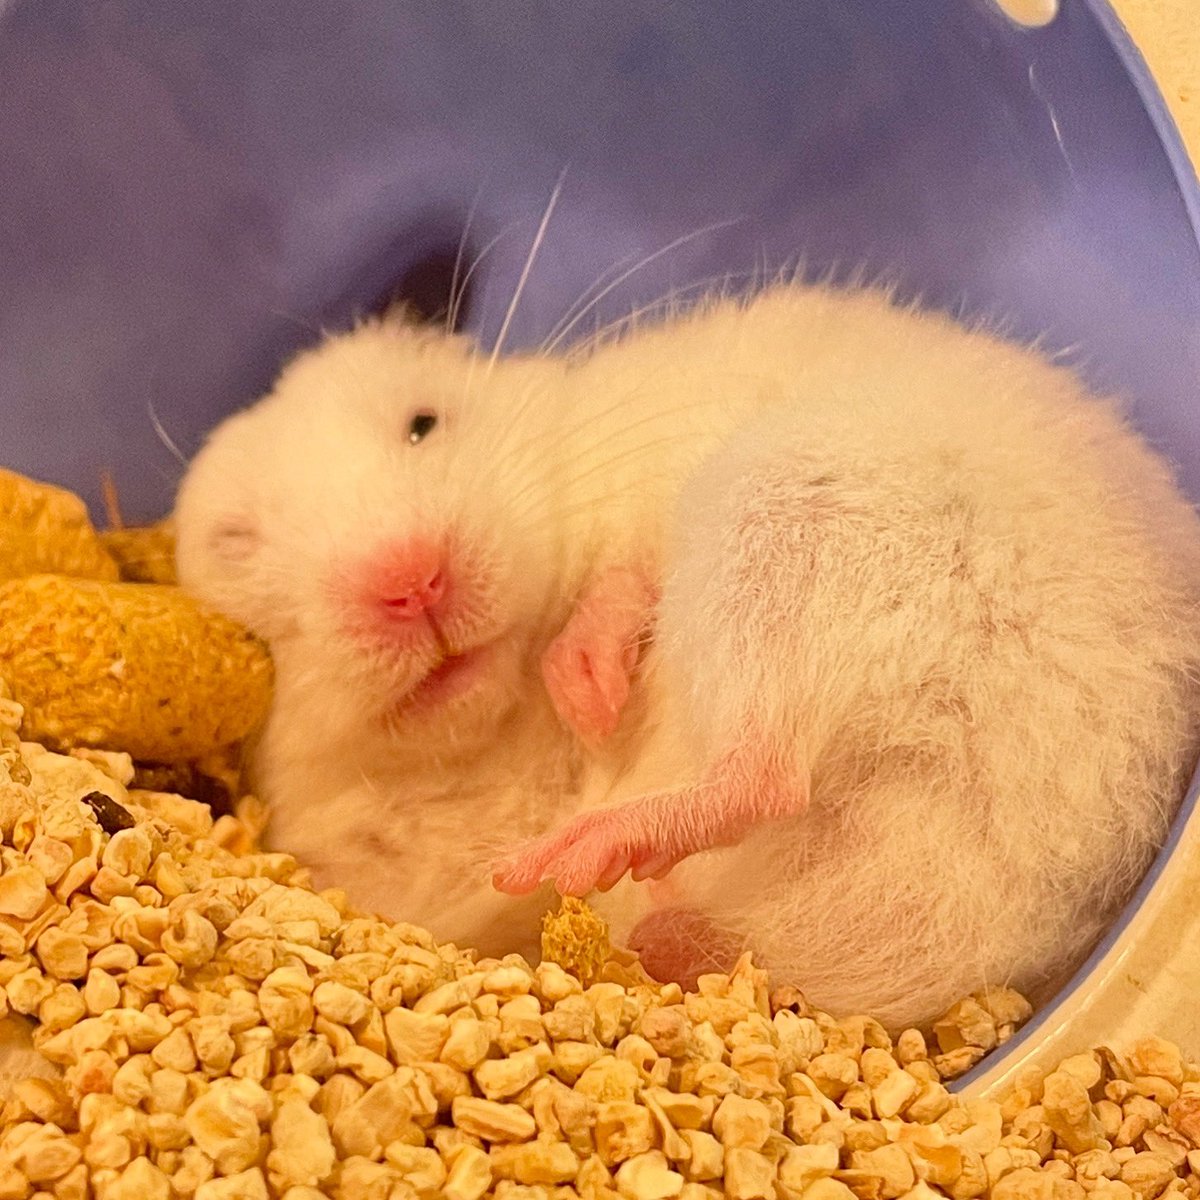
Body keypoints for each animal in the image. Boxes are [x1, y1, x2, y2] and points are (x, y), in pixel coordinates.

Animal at [174, 282, 1200, 1029]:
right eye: (238, 550)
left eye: (424, 424)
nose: (410, 580)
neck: (512, 733)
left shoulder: (656, 465)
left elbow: (620, 574)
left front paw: (588, 688)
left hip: (792, 507)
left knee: (762, 770)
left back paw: (586, 850)